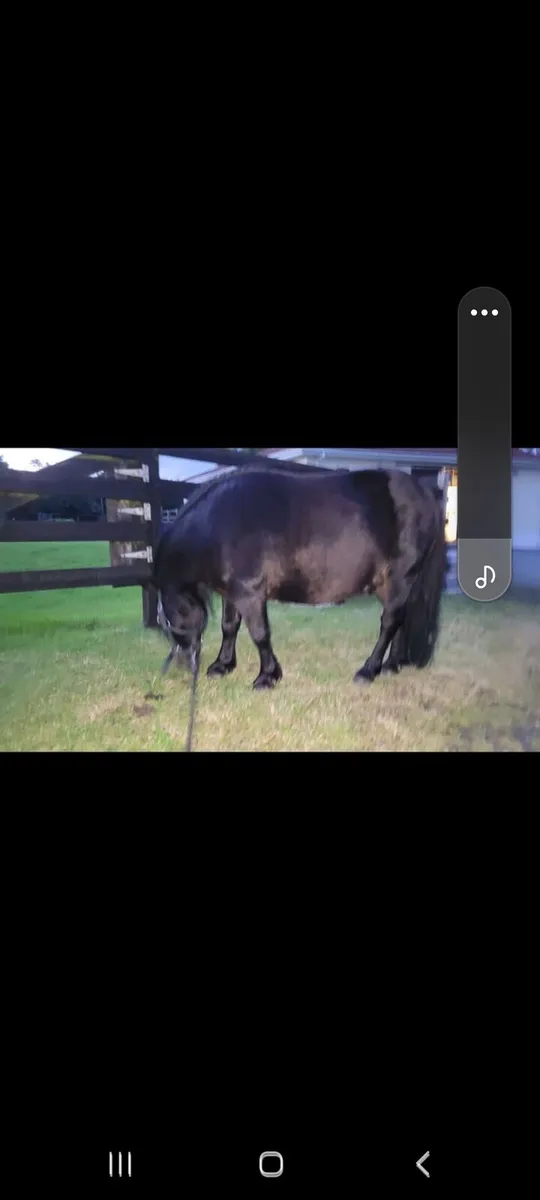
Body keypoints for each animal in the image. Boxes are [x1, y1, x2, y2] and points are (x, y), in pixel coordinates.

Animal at [151, 465, 448, 690]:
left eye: (168, 618)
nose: (183, 664)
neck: (217, 524)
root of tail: (425, 494)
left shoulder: (250, 593)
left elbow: (260, 634)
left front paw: (267, 677)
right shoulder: (232, 593)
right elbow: (229, 627)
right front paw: (222, 666)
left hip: (400, 578)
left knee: (389, 622)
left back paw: (368, 670)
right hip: (392, 584)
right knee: (400, 620)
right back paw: (391, 665)